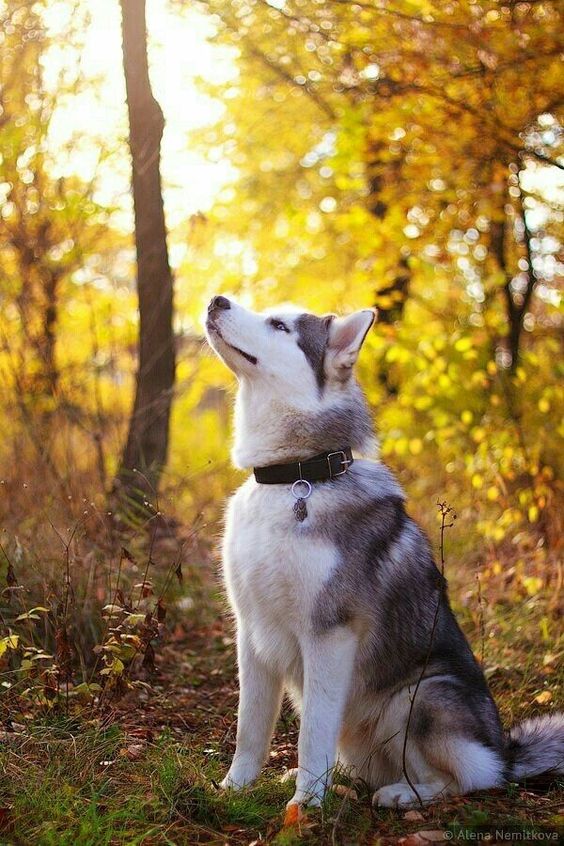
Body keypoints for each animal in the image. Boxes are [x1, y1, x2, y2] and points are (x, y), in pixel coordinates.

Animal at [205, 296, 560, 808]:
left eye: (280, 326)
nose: (217, 300)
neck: (295, 477)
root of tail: (505, 753)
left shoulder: (330, 633)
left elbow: (312, 732)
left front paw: (305, 806)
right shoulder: (250, 632)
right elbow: (249, 727)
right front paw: (234, 788)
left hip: (419, 698)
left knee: (464, 779)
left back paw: (401, 795)